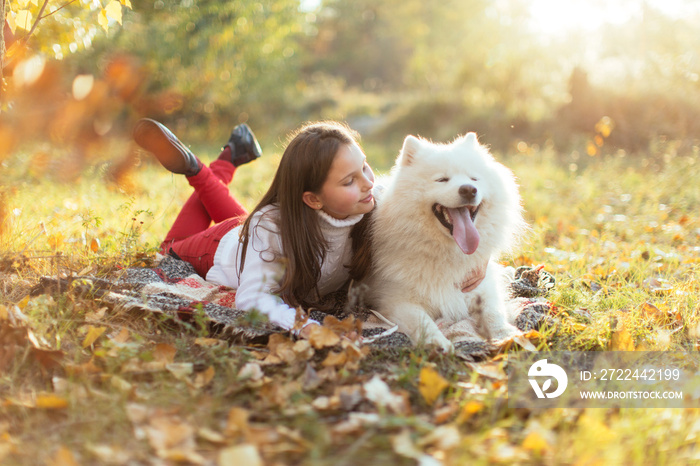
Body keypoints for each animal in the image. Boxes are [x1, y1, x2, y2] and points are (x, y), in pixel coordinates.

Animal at [370, 133, 528, 352]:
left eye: (474, 178)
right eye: (442, 179)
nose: (469, 189)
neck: (448, 253)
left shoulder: (483, 286)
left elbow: (493, 312)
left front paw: (506, 335)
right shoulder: (396, 300)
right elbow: (422, 321)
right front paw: (436, 342)